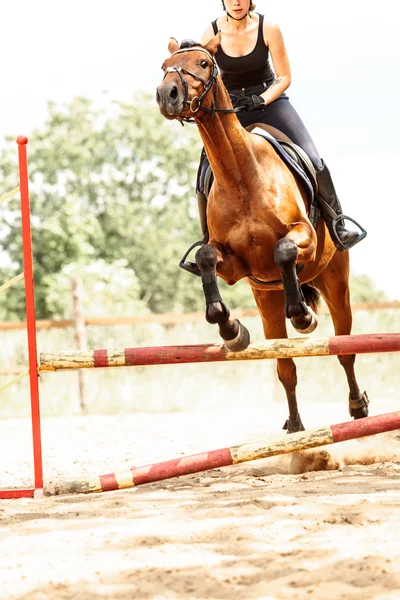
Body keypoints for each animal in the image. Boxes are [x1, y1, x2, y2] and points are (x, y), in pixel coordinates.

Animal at [156, 34, 368, 432]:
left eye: (204, 64)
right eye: (163, 66)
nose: (167, 95)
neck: (241, 174)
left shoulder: (304, 237)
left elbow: (284, 250)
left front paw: (303, 316)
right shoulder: (235, 265)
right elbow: (206, 257)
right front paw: (230, 328)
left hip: (336, 280)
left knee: (344, 347)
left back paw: (358, 405)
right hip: (266, 299)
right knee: (285, 365)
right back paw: (295, 425)